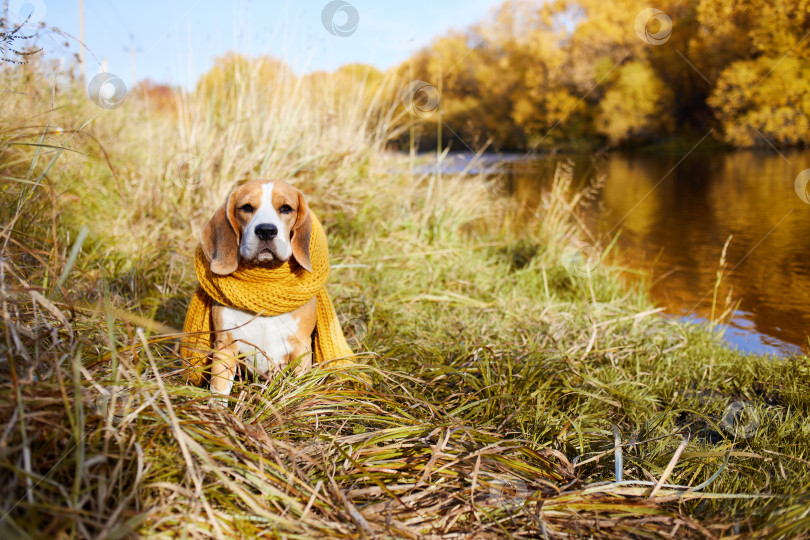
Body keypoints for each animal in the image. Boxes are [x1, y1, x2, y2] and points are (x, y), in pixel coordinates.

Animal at [199, 179, 316, 398]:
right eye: (246, 207)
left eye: (286, 208)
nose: (266, 230)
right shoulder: (225, 346)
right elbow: (218, 392)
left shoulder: (301, 349)